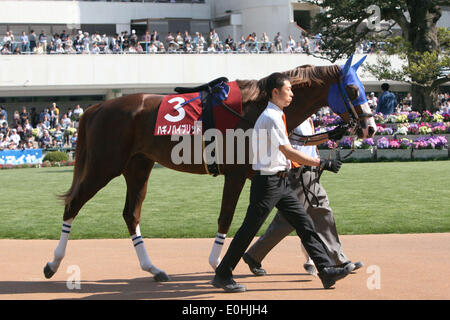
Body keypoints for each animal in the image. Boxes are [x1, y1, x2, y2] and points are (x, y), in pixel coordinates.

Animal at [44, 55, 376, 282]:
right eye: (352, 89)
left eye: (362, 88)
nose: (370, 127)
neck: (256, 108)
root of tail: (97, 107)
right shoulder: (237, 174)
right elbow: (227, 217)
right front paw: (219, 263)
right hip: (105, 165)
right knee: (74, 204)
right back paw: (54, 263)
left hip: (138, 166)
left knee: (130, 214)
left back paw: (152, 268)